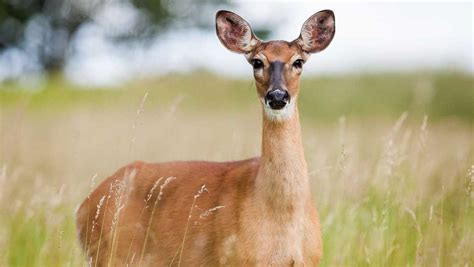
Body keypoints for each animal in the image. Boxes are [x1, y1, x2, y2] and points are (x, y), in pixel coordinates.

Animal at [76, 9, 336, 266]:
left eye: (298, 61)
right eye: (257, 62)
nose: (278, 96)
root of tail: (84, 207)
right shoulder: (233, 259)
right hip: (109, 254)